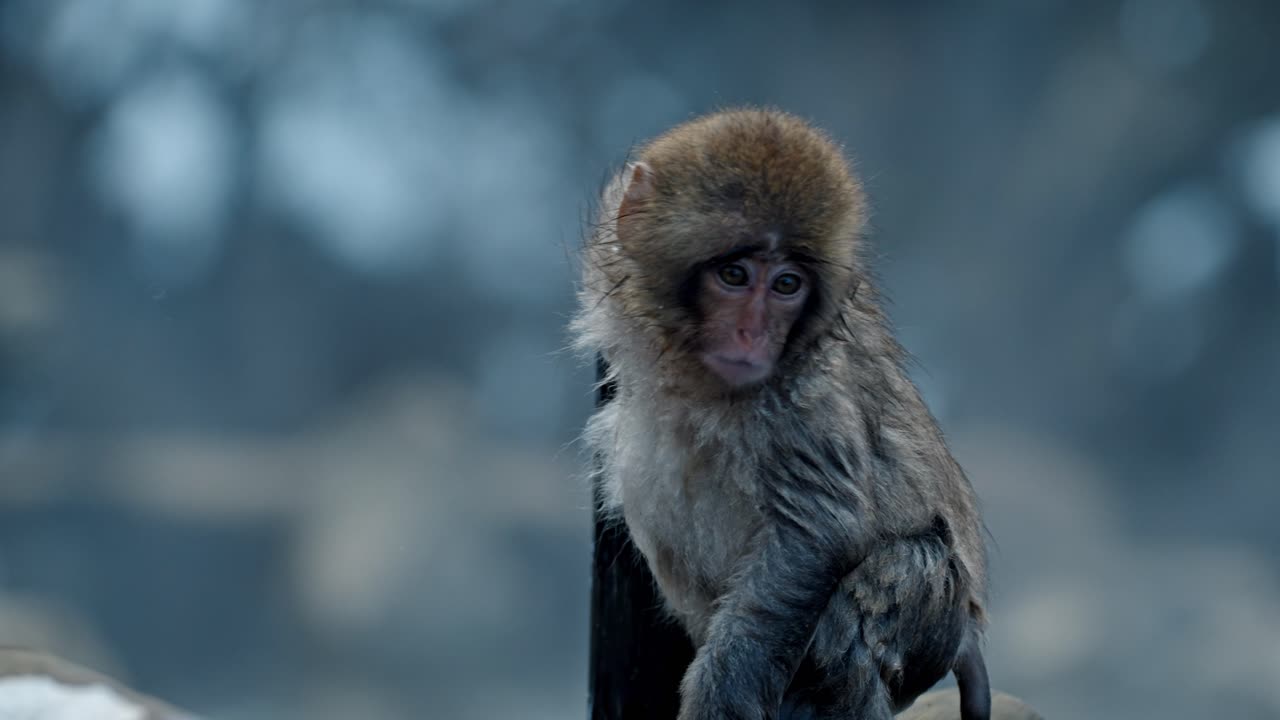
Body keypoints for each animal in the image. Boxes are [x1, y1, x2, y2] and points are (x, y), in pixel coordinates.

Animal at [573, 108, 990, 720]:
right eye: (735, 275)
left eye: (787, 285)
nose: (754, 334)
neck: (695, 380)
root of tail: (965, 636)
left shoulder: (802, 401)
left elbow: (817, 536)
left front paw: (720, 699)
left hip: (933, 616)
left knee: (862, 608)